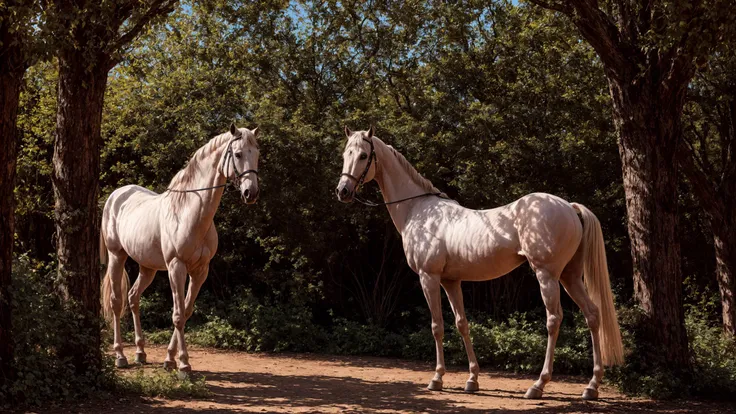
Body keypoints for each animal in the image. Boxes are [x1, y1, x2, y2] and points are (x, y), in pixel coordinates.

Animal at [100, 124, 262, 374]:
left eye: (257, 155)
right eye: (238, 154)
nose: (250, 193)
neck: (190, 212)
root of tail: (116, 197)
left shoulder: (200, 271)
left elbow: (185, 311)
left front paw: (170, 359)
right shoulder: (177, 267)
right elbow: (177, 315)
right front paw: (184, 364)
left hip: (147, 267)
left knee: (133, 297)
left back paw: (140, 352)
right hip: (117, 256)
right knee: (117, 302)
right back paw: (120, 355)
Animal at [336, 128, 624, 400]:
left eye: (363, 155)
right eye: (345, 154)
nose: (343, 191)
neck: (419, 210)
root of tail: (569, 206)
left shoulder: (428, 277)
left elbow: (437, 326)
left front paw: (437, 379)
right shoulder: (451, 281)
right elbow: (462, 323)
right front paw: (472, 380)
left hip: (547, 275)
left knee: (554, 320)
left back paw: (538, 385)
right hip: (570, 276)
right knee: (592, 314)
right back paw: (591, 386)